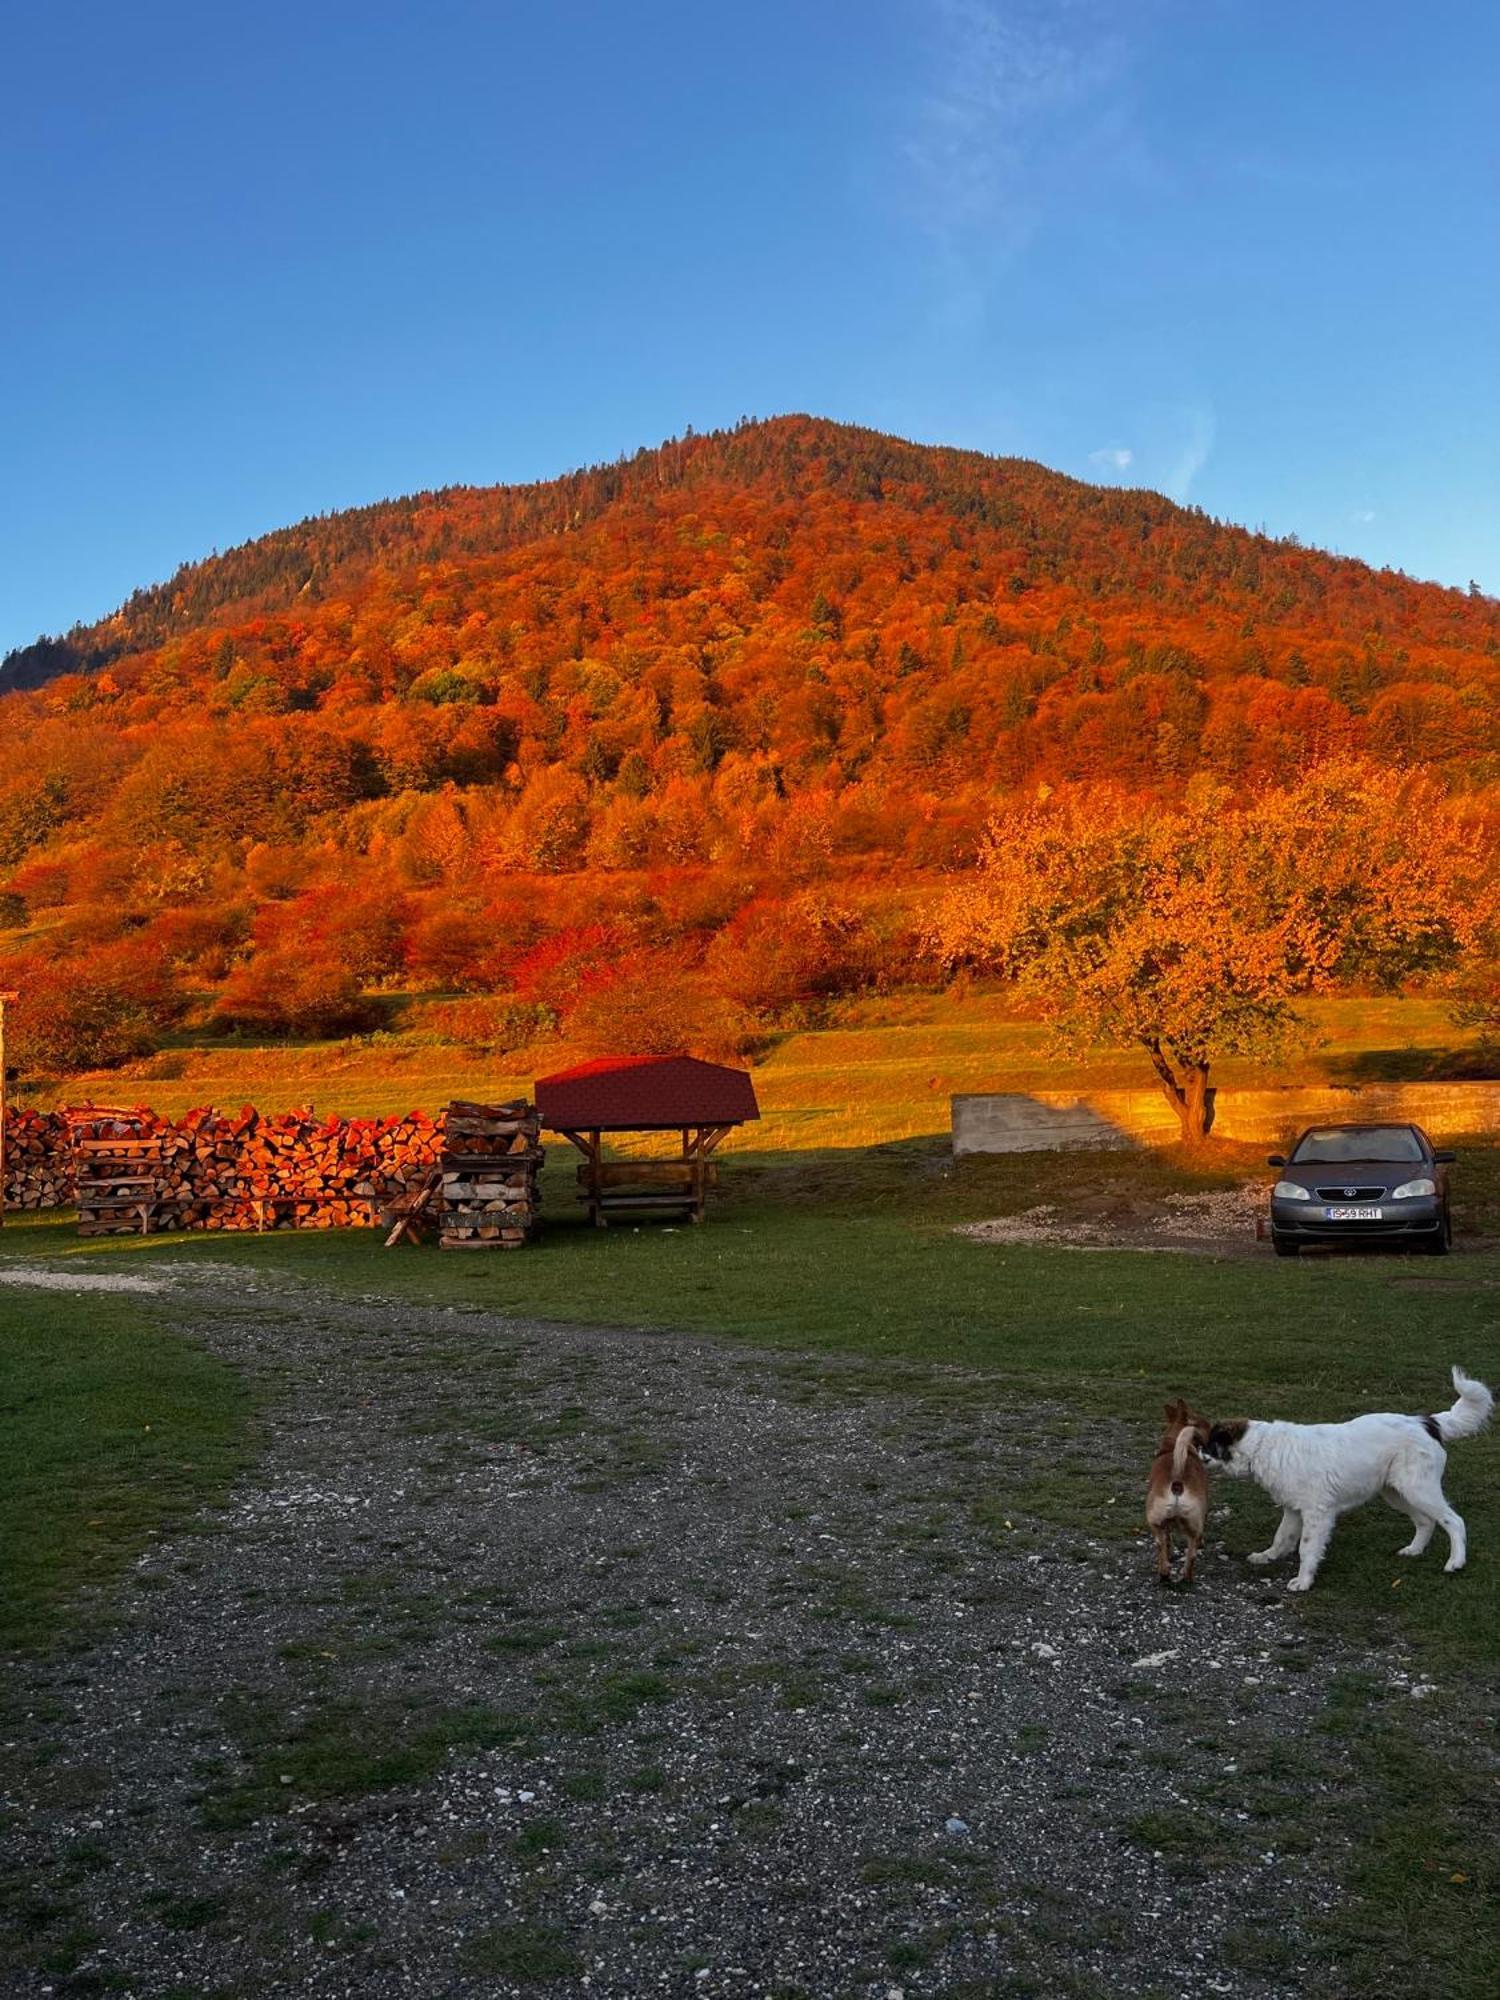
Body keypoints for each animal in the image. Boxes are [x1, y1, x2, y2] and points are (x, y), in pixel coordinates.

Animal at [1152, 1400, 1208, 1584]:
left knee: (1163, 1545)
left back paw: (1166, 1573)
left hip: (1156, 1522)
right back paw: (1184, 1576)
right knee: (1190, 1553)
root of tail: (1177, 1478)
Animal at [1208, 1360, 1496, 1592]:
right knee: (1425, 1521)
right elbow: (1282, 1538)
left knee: (1453, 1520)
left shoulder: (1317, 1513)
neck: (1262, 1446)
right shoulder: (1293, 1509)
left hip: (1418, 1489)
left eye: (1209, 1445)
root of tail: (1427, 1422)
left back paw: (1455, 1562)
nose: (1197, 1454)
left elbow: (1306, 1547)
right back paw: (1413, 1550)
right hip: (1396, 1491)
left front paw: (1303, 1581)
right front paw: (1266, 1556)